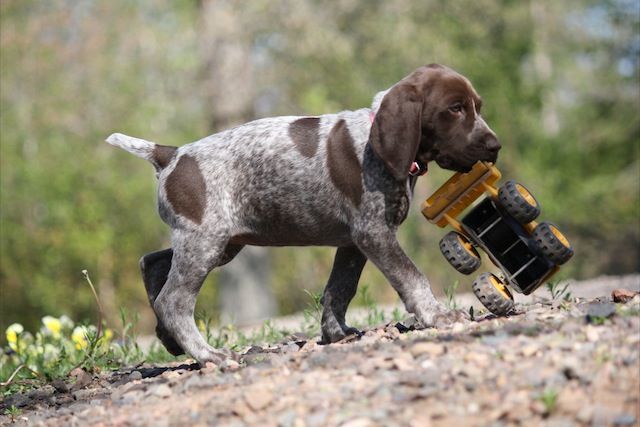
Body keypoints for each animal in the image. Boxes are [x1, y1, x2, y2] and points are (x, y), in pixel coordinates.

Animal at [107, 65, 502, 366]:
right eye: (455, 109)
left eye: (477, 107)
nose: (495, 146)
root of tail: (172, 155)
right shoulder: (373, 232)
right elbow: (412, 277)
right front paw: (437, 316)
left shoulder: (354, 242)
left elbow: (340, 288)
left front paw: (335, 333)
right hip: (206, 241)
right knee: (173, 300)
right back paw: (208, 354)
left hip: (217, 243)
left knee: (153, 264)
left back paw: (170, 340)